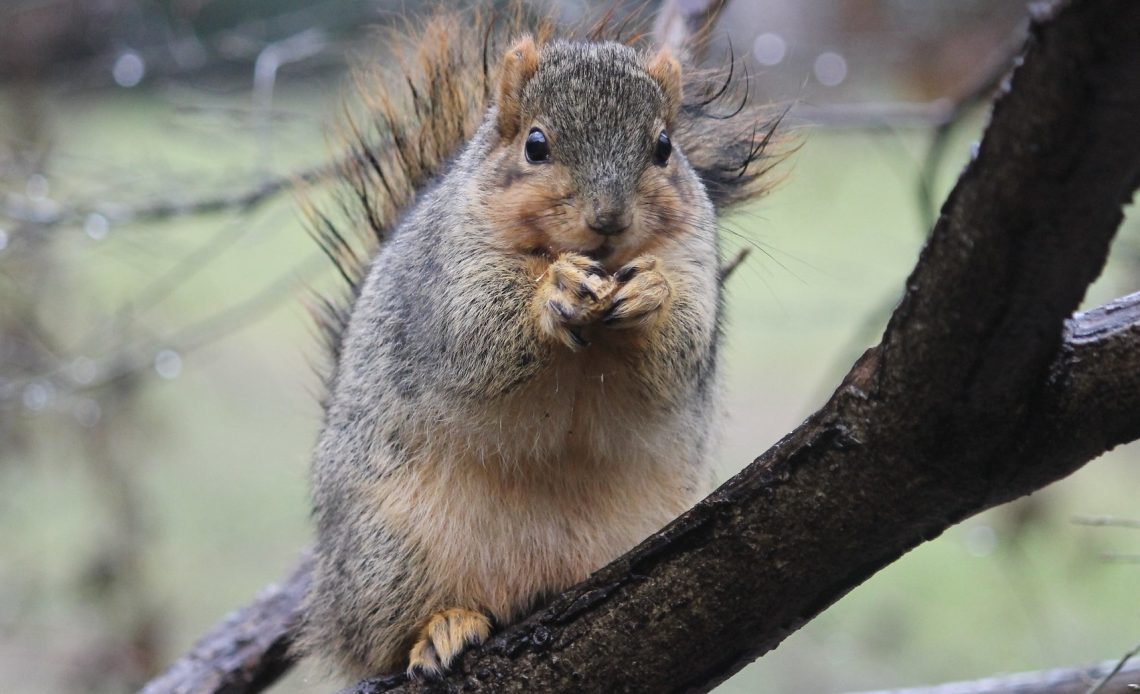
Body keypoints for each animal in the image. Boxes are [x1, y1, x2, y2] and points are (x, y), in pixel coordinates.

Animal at [300, 5, 784, 679]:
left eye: (664, 147)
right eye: (535, 145)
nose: (608, 219)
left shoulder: (695, 263)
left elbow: (681, 348)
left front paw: (651, 294)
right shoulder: (450, 273)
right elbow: (477, 333)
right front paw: (551, 291)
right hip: (389, 556)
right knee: (384, 640)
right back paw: (444, 626)